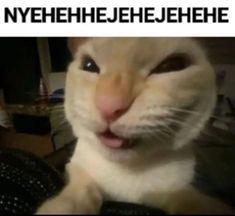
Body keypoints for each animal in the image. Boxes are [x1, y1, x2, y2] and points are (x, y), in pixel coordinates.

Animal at [36, 37, 233, 214]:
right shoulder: (77, 169)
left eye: (170, 66)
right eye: (89, 66)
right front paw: (62, 206)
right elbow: (80, 188)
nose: (109, 106)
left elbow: (190, 200)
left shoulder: (173, 190)